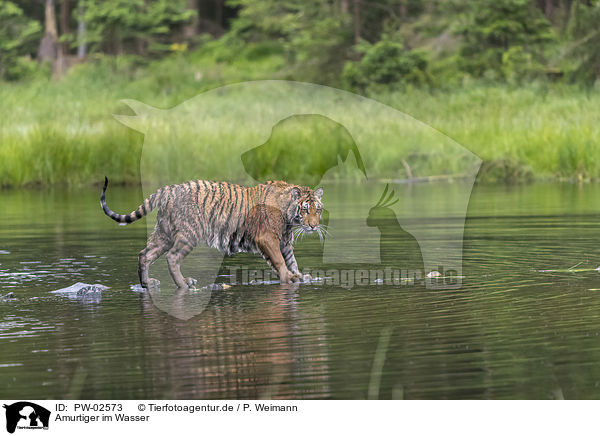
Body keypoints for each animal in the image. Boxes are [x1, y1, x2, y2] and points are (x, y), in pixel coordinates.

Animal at [99, 177, 324, 290]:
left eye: (318, 210)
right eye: (305, 210)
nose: (314, 226)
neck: (290, 217)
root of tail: (168, 189)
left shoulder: (284, 241)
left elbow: (291, 260)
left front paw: (301, 276)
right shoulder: (267, 238)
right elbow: (279, 260)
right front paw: (289, 277)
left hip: (164, 233)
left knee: (145, 254)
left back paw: (148, 283)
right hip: (188, 234)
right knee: (172, 257)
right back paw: (184, 284)